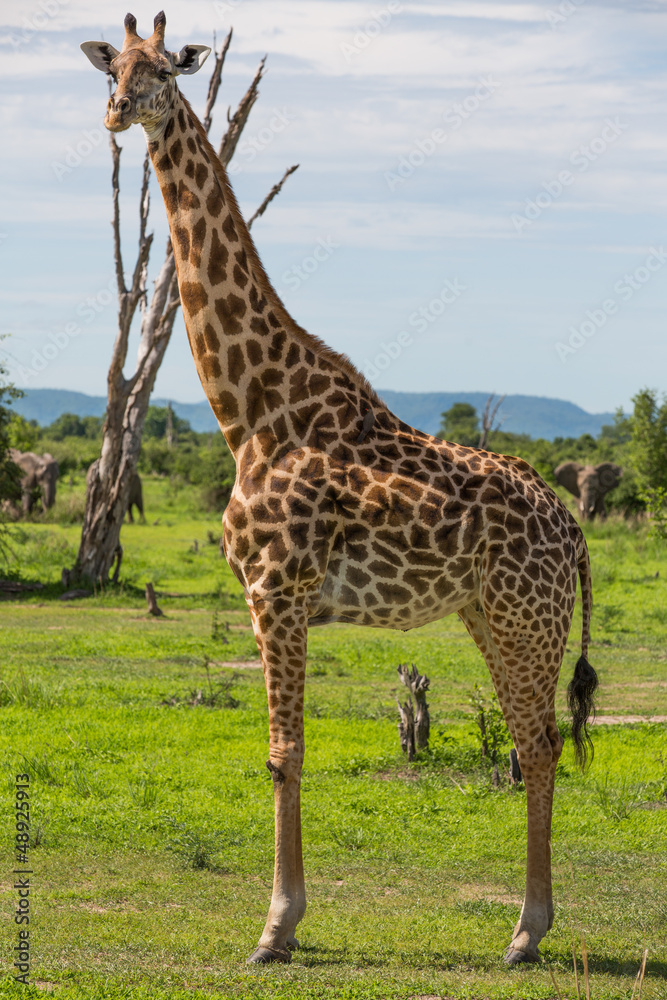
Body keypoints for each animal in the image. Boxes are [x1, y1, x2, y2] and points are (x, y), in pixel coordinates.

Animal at [81, 11, 596, 968]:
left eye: (167, 69)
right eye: (112, 68)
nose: (118, 112)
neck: (252, 411)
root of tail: (572, 527)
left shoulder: (275, 591)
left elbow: (284, 752)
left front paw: (274, 929)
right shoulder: (276, 597)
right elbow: (284, 751)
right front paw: (282, 923)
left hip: (524, 616)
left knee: (539, 744)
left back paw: (524, 934)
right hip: (487, 614)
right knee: (529, 741)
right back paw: (526, 928)